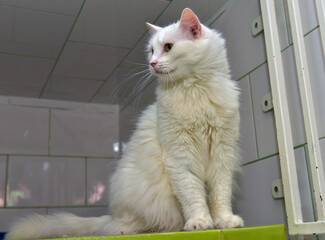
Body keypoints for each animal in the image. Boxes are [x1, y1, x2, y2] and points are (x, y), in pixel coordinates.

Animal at [5, 8, 243, 239]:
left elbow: (220, 196)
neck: (195, 89)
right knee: (119, 226)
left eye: (168, 47)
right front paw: (199, 222)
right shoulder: (180, 157)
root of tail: (113, 215)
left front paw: (225, 220)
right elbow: (192, 195)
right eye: (151, 51)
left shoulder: (223, 152)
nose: (152, 63)